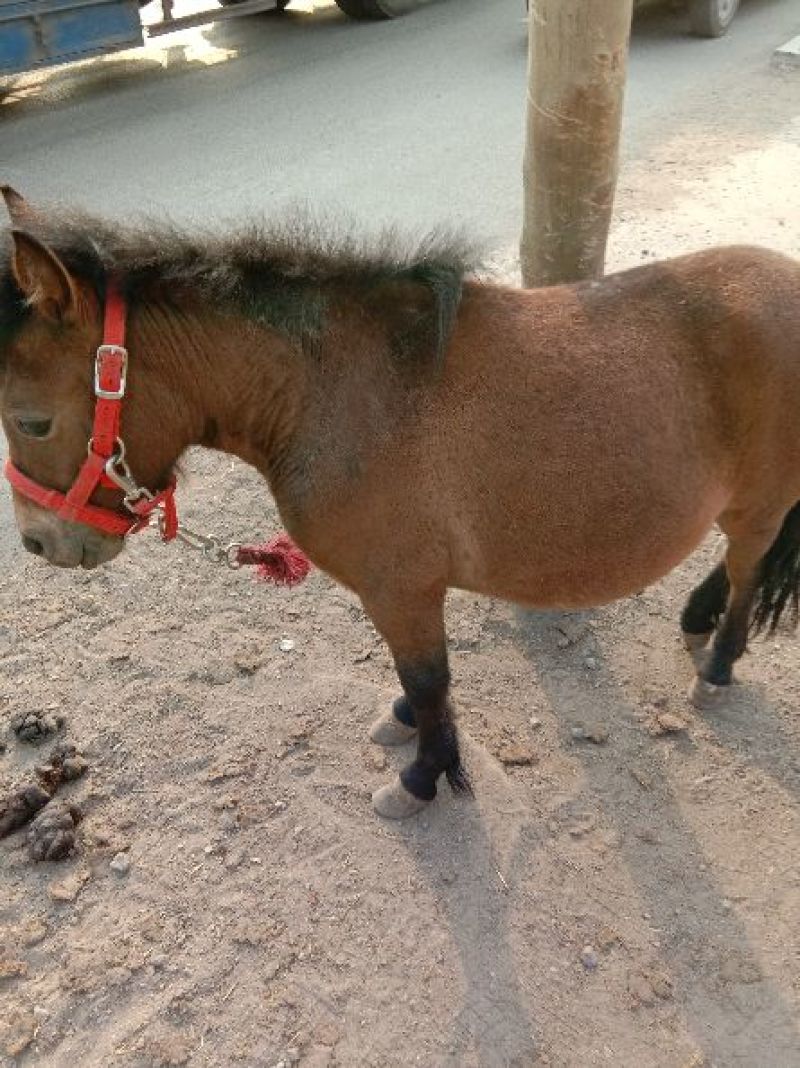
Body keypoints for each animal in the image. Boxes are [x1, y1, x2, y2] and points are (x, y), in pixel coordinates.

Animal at [1, 187, 799, 821]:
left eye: (30, 420)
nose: (41, 542)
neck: (332, 395)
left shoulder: (402, 587)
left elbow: (429, 676)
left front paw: (424, 775)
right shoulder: (400, 592)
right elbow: (416, 677)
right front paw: (410, 723)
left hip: (761, 499)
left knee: (748, 567)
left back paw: (718, 664)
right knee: (738, 560)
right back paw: (697, 619)